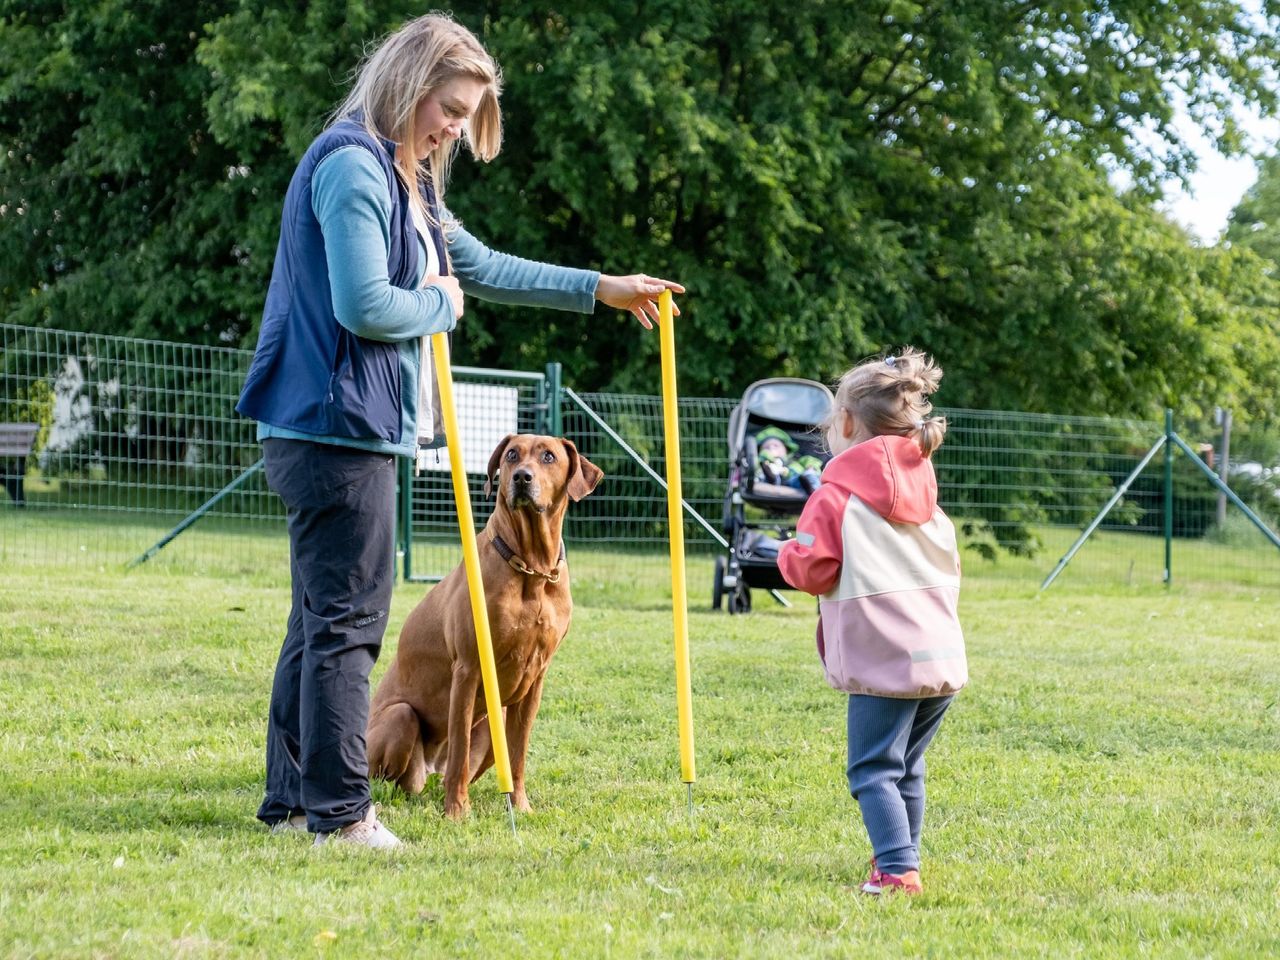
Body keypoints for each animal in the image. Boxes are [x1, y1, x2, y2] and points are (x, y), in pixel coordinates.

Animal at [368, 435, 601, 819]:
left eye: (548, 456)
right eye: (512, 455)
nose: (521, 477)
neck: (532, 568)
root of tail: (429, 770)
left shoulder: (536, 679)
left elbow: (518, 755)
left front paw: (520, 805)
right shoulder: (469, 667)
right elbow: (460, 749)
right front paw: (457, 811)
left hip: (495, 726)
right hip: (400, 719)